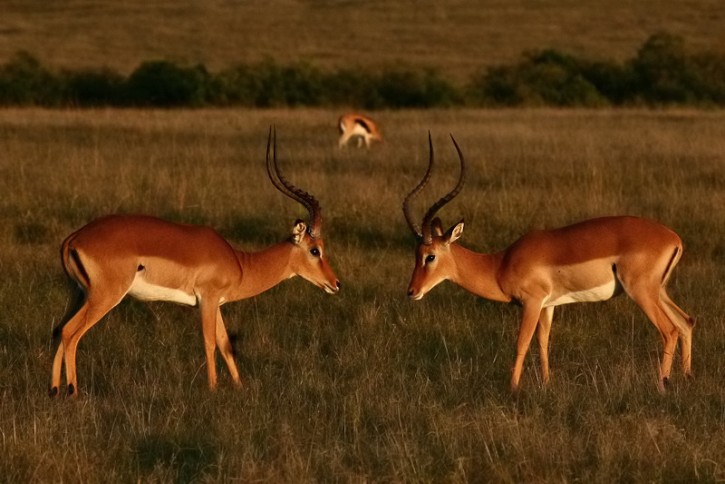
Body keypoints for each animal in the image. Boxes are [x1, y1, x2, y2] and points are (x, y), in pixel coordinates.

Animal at [51, 127, 340, 398]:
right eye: (315, 250)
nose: (335, 283)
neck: (239, 262)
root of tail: (74, 238)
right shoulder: (207, 300)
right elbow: (209, 342)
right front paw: (213, 389)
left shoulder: (217, 304)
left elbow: (226, 344)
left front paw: (240, 388)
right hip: (105, 296)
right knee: (71, 332)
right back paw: (73, 391)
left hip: (80, 294)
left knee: (60, 329)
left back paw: (54, 390)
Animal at [404, 133, 692, 394]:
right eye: (416, 254)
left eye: (430, 256)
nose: (412, 291)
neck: (500, 264)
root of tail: (673, 238)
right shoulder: (548, 306)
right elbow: (543, 342)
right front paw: (546, 385)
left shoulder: (531, 302)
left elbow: (522, 342)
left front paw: (512, 389)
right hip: (659, 291)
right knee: (685, 322)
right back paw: (686, 378)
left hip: (641, 291)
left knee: (669, 330)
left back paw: (662, 385)